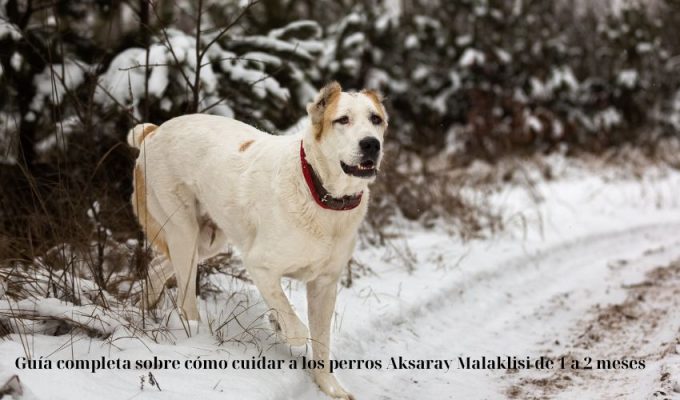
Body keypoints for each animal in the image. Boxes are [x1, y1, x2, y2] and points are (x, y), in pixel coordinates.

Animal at [127, 81, 388, 396]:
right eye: (343, 120)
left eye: (375, 119)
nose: (371, 144)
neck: (321, 194)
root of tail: (154, 131)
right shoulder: (259, 265)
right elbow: (297, 326)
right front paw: (281, 327)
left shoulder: (324, 285)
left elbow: (322, 343)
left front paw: (329, 387)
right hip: (183, 233)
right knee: (184, 298)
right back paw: (193, 336)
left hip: (206, 240)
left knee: (157, 268)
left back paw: (144, 309)